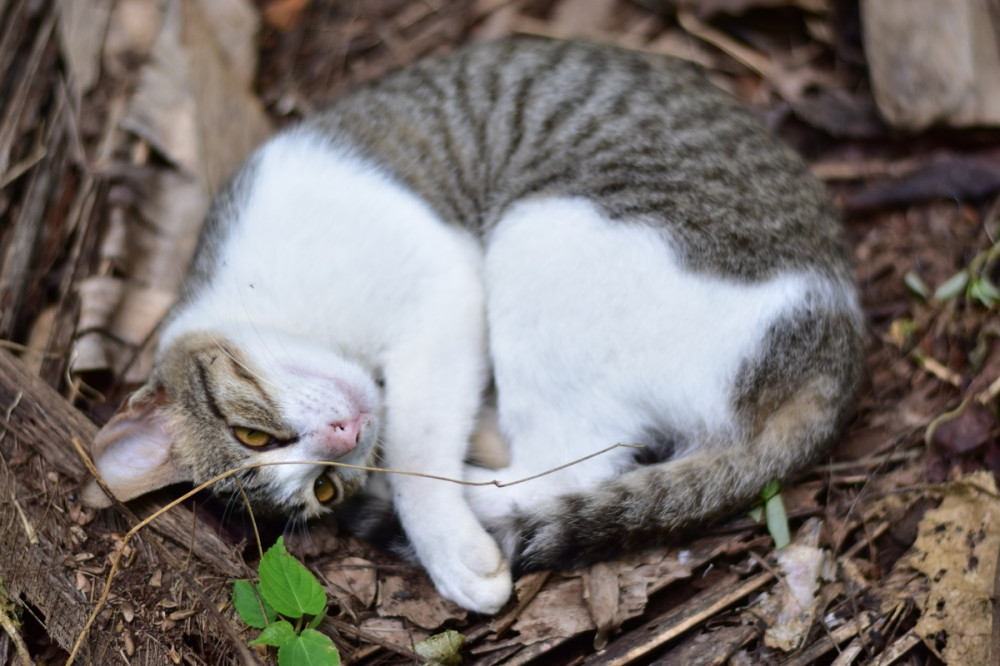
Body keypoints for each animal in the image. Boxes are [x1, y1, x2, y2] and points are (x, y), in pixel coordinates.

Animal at [82, 39, 864, 616]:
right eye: (323, 491)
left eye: (251, 435)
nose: (344, 434)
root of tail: (834, 353)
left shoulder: (445, 290)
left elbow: (416, 440)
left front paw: (444, 534)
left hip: (539, 233)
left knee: (577, 459)